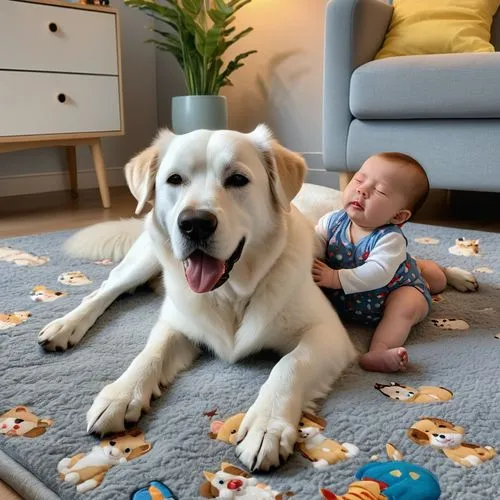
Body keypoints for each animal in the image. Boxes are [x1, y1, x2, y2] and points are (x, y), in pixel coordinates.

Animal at [40, 126, 360, 472]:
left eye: (237, 179)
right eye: (174, 179)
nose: (194, 223)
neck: (230, 294)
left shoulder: (327, 332)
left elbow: (290, 365)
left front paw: (266, 426)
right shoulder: (177, 321)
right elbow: (150, 353)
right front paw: (121, 394)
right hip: (145, 257)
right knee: (105, 290)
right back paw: (64, 326)